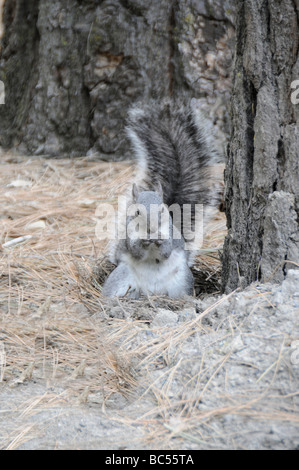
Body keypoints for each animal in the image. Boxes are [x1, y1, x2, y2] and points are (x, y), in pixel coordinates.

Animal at [102, 98, 221, 298]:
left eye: (163, 209)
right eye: (136, 212)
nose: (151, 228)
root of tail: (153, 291)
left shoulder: (171, 234)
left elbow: (166, 251)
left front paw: (160, 241)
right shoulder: (129, 235)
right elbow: (136, 251)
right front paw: (143, 242)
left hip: (182, 280)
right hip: (122, 276)